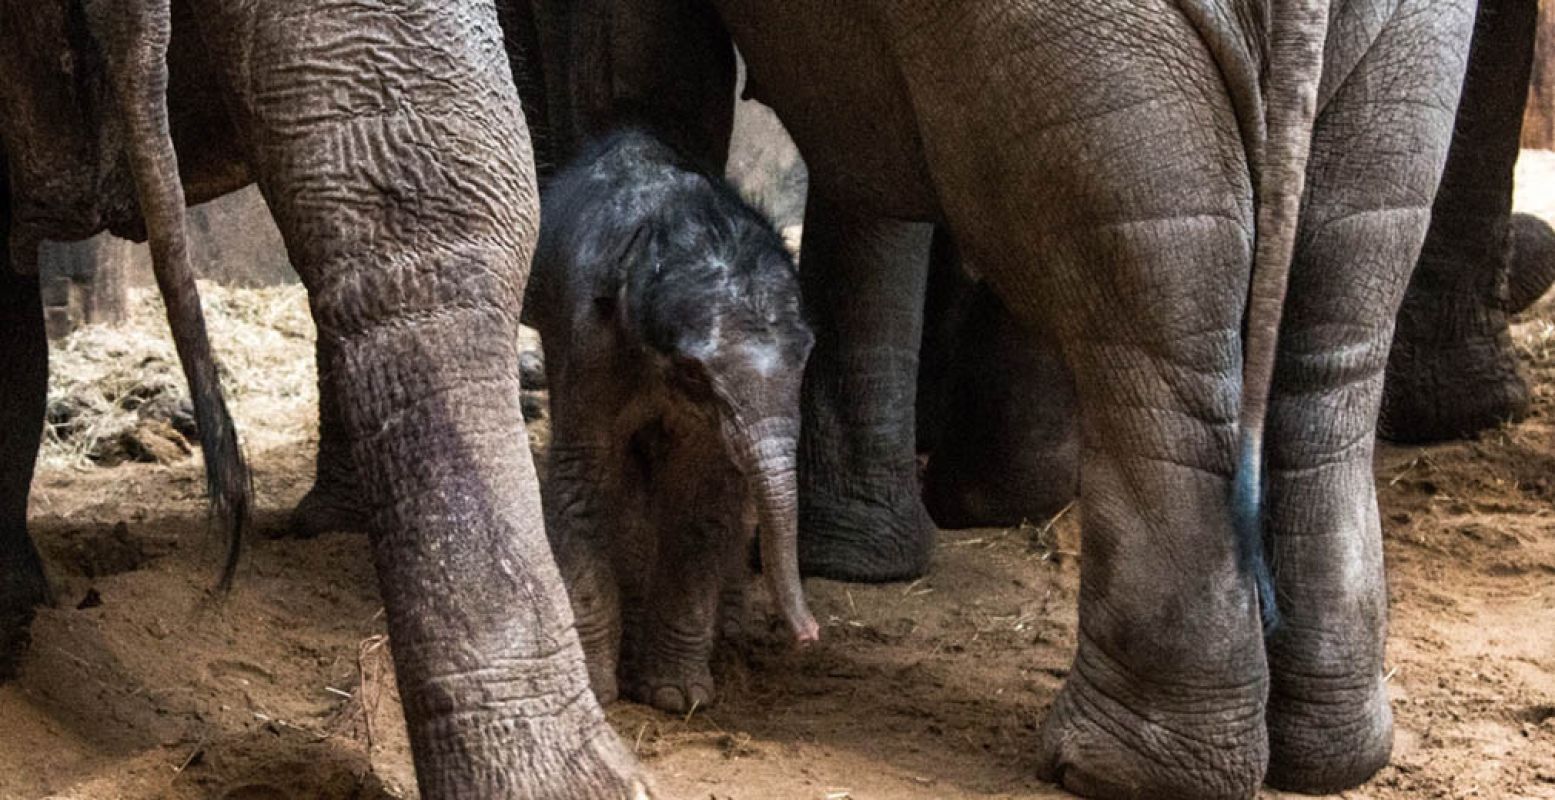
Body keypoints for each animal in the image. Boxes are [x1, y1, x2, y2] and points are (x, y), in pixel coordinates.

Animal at [528, 126, 821, 709]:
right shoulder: (586, 341)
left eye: (808, 353)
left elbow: (700, 500)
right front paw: (601, 691)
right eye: (694, 371)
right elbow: (584, 480)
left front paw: (677, 696)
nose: (811, 636)